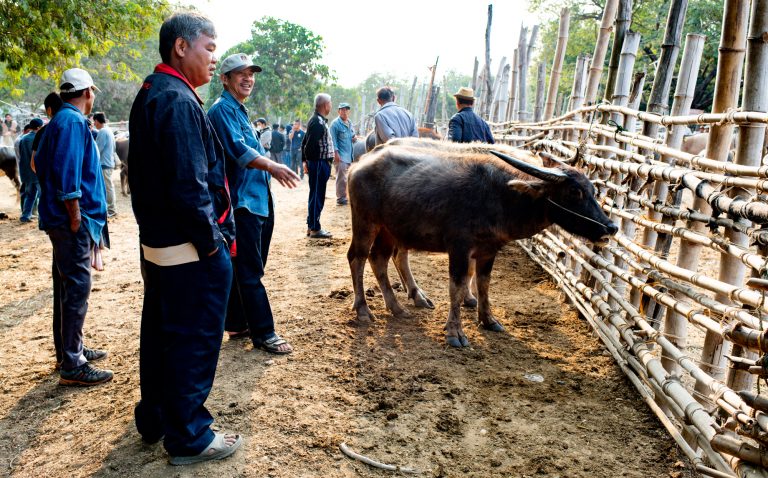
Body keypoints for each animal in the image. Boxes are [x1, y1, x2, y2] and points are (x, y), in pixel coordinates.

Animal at [348, 138, 616, 348]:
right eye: (574, 192)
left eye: (592, 190)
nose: (610, 228)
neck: (500, 195)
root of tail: (358, 164)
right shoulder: (459, 248)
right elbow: (456, 286)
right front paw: (455, 332)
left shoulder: (488, 250)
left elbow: (483, 283)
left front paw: (488, 320)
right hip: (366, 223)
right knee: (357, 257)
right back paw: (363, 310)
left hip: (388, 230)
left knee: (379, 259)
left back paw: (397, 307)